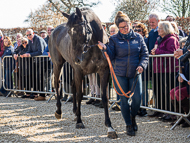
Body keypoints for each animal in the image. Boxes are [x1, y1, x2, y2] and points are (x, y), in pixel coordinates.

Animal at [48, 7, 117, 138]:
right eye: (69, 33)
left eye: (81, 32)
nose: (77, 59)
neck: (94, 47)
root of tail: (54, 31)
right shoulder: (79, 71)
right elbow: (80, 95)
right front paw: (80, 122)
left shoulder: (103, 72)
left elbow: (104, 97)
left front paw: (110, 126)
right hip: (58, 64)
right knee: (57, 83)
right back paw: (59, 111)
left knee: (72, 84)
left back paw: (75, 111)